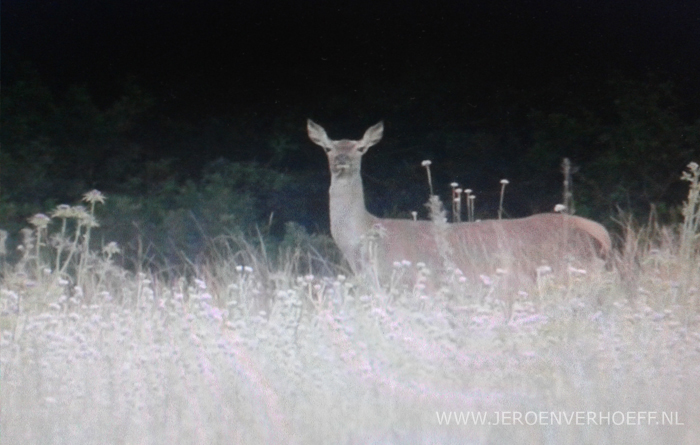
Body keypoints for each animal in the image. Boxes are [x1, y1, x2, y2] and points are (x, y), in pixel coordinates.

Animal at [308, 119, 612, 288]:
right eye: (328, 148)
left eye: (360, 148)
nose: (342, 161)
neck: (364, 238)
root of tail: (599, 233)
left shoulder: (413, 281)